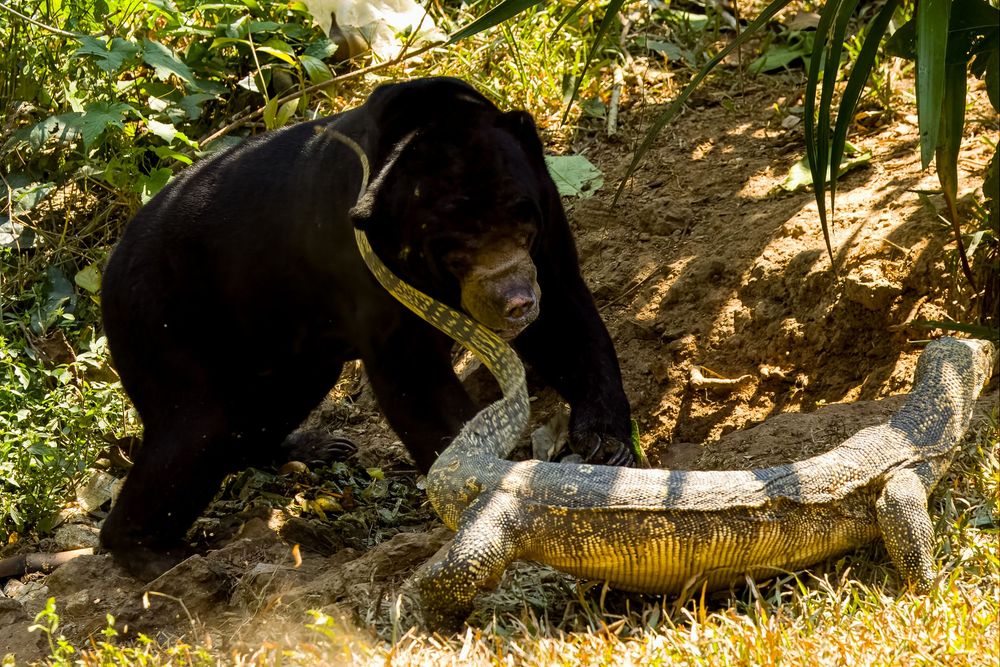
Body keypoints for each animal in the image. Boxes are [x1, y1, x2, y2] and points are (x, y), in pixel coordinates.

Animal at [99, 77, 633, 579]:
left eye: (524, 225)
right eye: (456, 254)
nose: (516, 302)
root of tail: (109, 264)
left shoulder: (548, 216)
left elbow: (566, 315)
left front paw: (605, 446)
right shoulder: (365, 264)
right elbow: (412, 375)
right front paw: (484, 488)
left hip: (281, 348)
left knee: (269, 403)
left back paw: (314, 446)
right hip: (160, 323)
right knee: (195, 431)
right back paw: (151, 553)